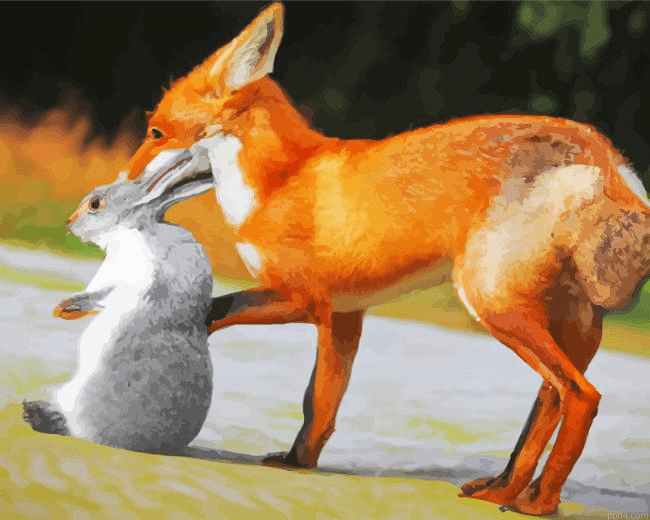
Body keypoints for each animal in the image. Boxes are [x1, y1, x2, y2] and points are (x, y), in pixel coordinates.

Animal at [23, 148, 216, 454]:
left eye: (95, 204)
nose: (69, 223)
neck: (135, 227)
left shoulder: (120, 278)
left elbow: (101, 294)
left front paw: (65, 306)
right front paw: (64, 309)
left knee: (73, 429)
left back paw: (36, 415)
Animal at [68, 3, 650, 515]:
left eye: (156, 132)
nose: (110, 187)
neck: (280, 183)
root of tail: (609, 156)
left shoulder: (308, 300)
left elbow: (219, 314)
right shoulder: (347, 316)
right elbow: (320, 403)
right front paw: (297, 464)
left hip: (492, 302)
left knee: (581, 397)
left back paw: (537, 503)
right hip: (564, 322)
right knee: (550, 397)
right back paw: (504, 487)